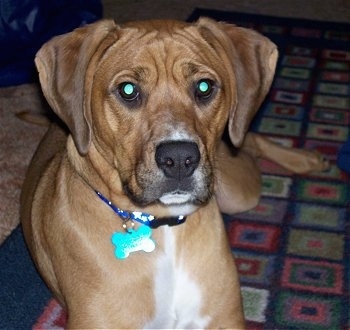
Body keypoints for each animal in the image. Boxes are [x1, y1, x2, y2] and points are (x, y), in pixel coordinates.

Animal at [21, 17, 328, 328]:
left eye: (204, 86)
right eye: (128, 90)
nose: (179, 158)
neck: (163, 228)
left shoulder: (225, 320)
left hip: (237, 190)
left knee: (247, 140)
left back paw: (308, 159)